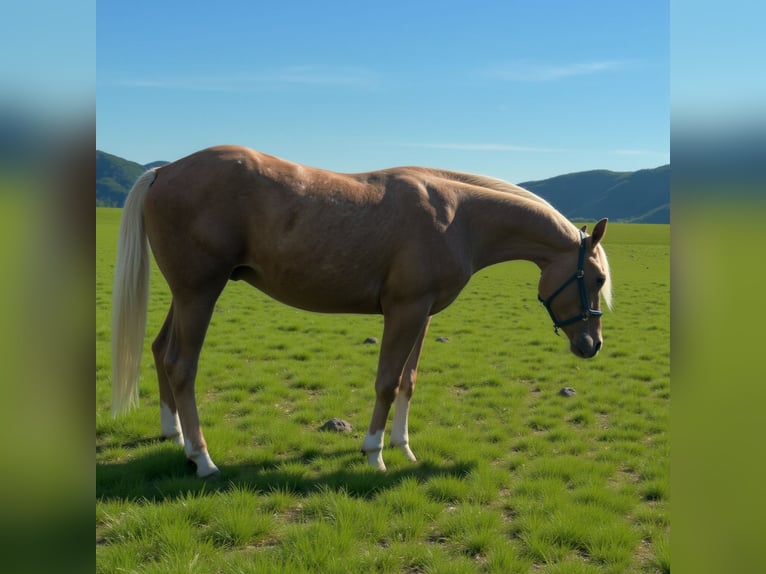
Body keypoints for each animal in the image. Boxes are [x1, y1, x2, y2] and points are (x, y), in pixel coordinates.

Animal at [111, 145, 612, 478]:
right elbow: (387, 382)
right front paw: (374, 452)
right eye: (598, 280)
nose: (592, 345)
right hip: (199, 294)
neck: (458, 216)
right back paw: (202, 458)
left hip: (186, 296)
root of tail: (163, 171)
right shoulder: (403, 312)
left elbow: (409, 381)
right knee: (181, 365)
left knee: (160, 351)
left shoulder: (423, 315)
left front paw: (404, 448)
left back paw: (173, 435)